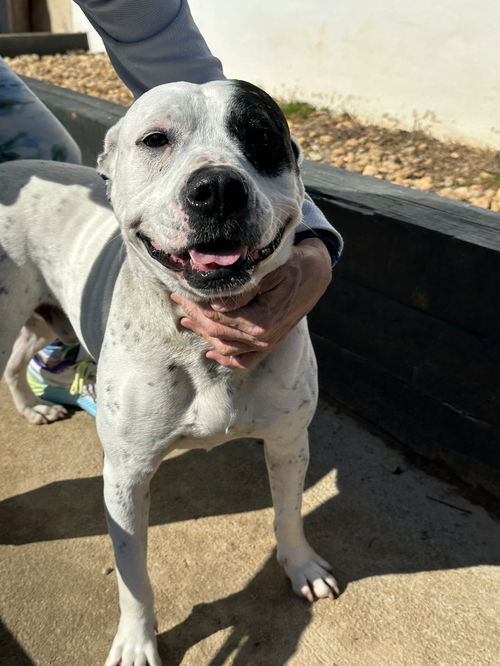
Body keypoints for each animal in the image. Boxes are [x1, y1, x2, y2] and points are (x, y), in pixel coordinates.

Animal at [0, 80, 338, 660]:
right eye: (155, 139)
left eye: (260, 134)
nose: (218, 188)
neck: (201, 338)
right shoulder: (125, 478)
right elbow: (132, 576)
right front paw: (137, 643)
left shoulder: (289, 442)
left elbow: (288, 511)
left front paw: (300, 567)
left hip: (45, 319)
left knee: (18, 359)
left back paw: (32, 408)